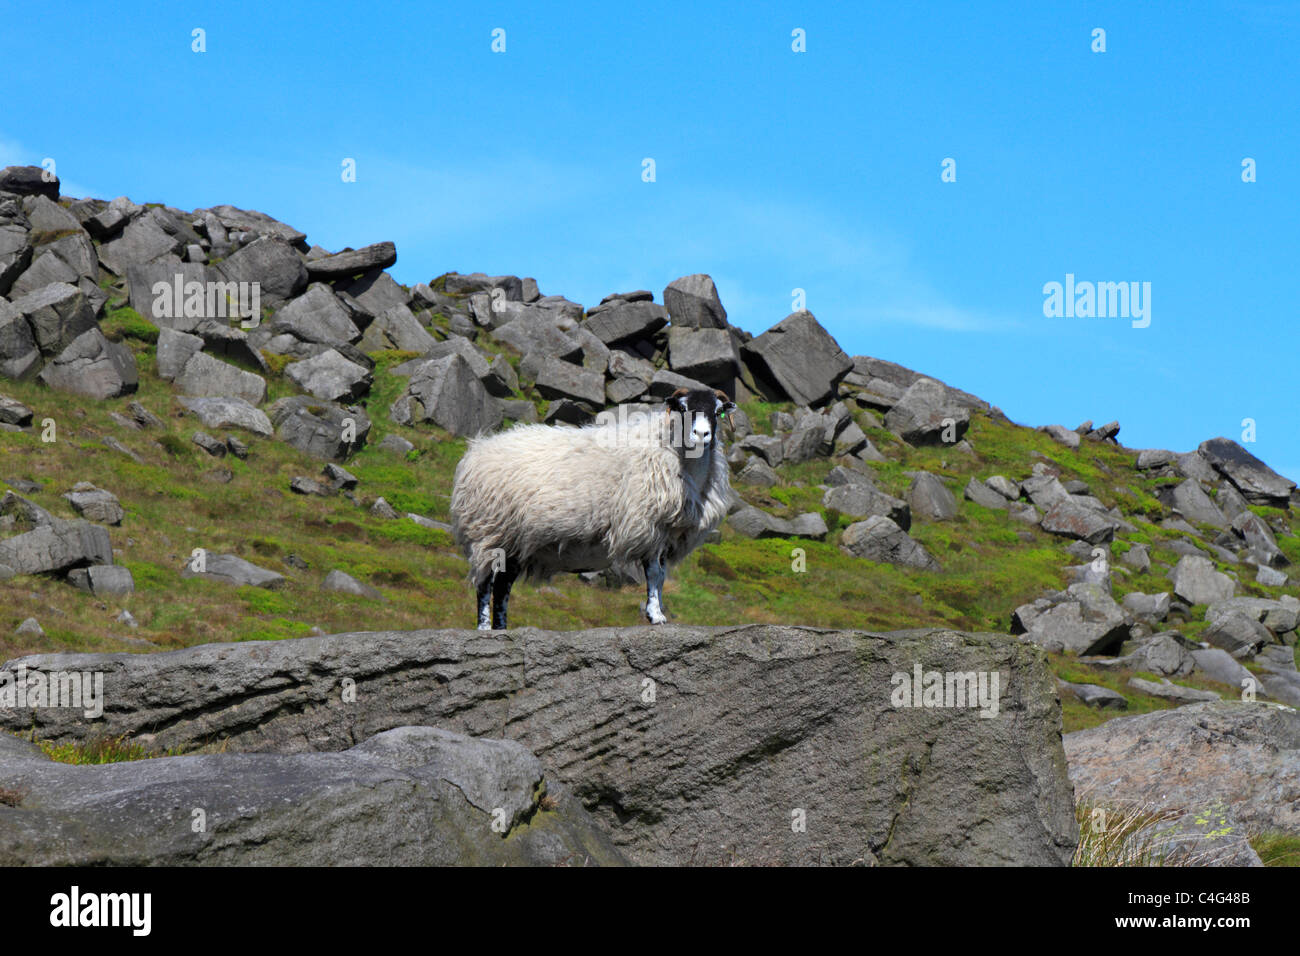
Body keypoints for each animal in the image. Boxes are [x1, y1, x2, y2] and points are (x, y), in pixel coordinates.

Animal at [449, 385, 738, 632]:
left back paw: (501, 628)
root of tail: (475, 450)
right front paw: (655, 615)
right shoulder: (646, 524)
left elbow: (662, 576)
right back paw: (484, 629)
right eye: (683, 407)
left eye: (717, 411)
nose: (702, 435)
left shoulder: (668, 533)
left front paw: (658, 610)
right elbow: (654, 573)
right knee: (485, 584)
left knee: (503, 586)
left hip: (514, 541)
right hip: (488, 530)